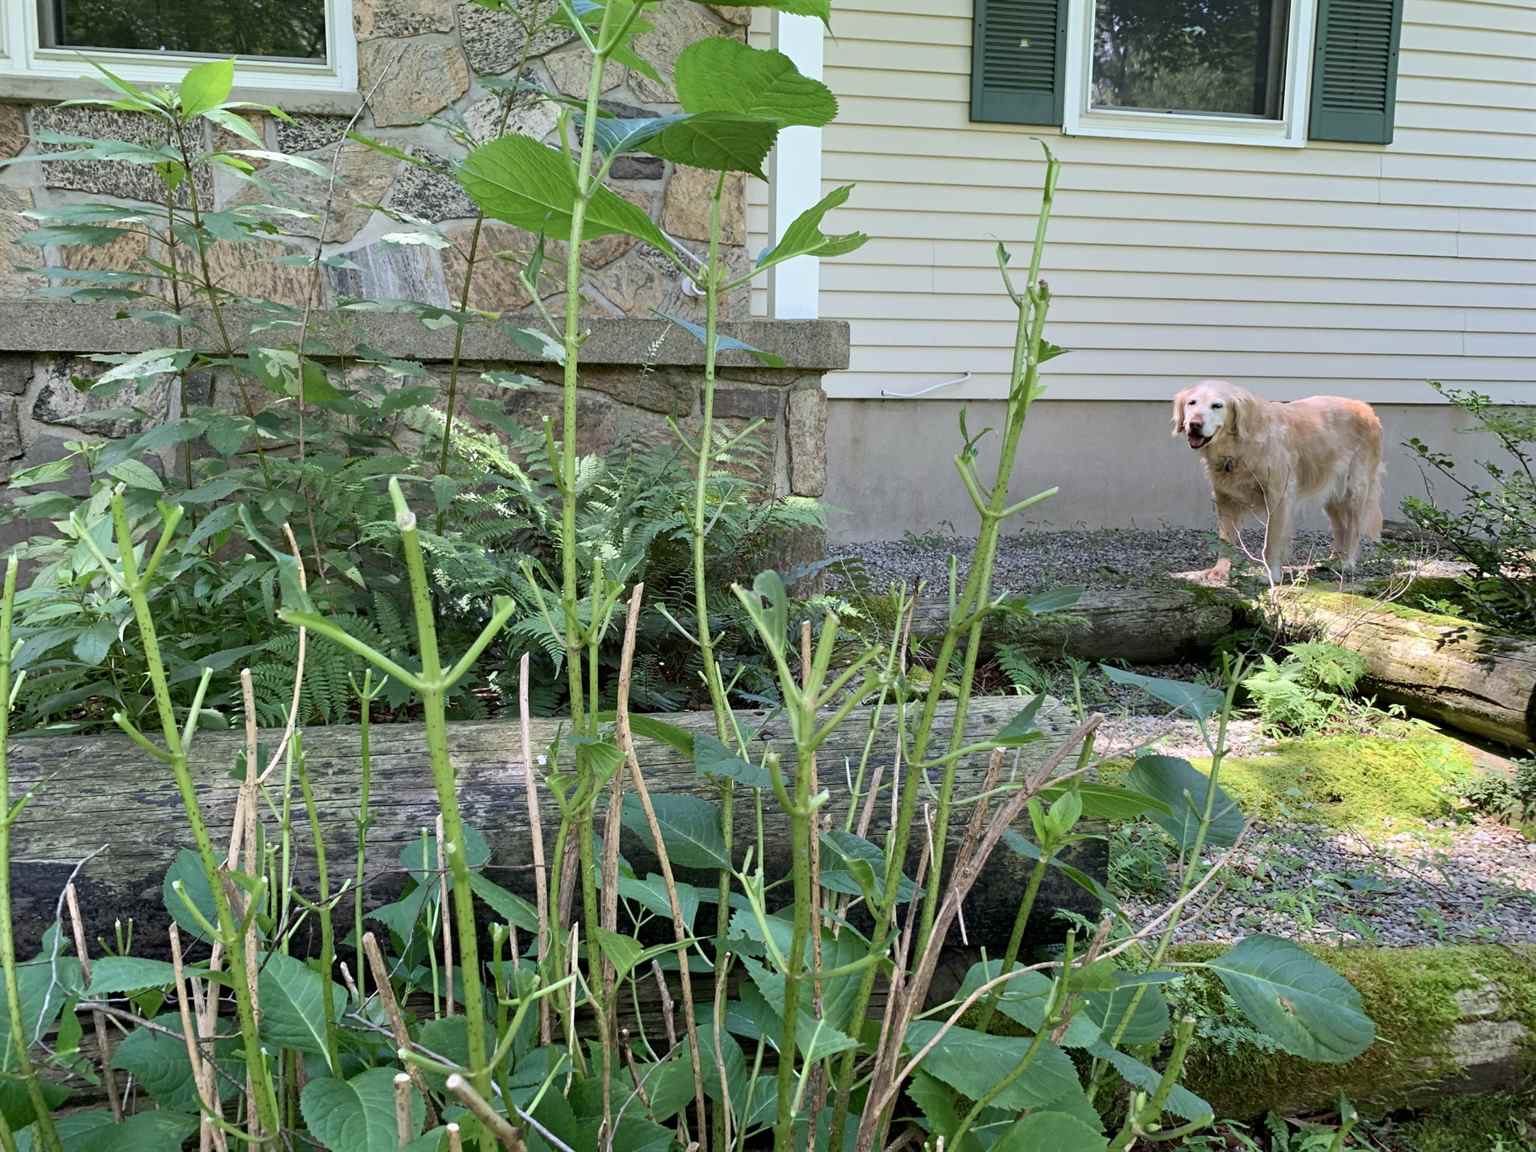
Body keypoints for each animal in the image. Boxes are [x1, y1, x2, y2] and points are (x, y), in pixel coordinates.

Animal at [1167, 384, 1388, 586]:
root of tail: (1366, 408)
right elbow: (1225, 540)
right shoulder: (1225, 498)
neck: (1239, 448)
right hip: (1332, 493)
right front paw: (1219, 571)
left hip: (1354, 490)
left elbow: (1272, 541)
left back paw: (1347, 562)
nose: (1194, 424)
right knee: (1340, 526)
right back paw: (1333, 560)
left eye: (1217, 405)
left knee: (1353, 528)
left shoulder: (1279, 497)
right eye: (1192, 403)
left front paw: (1270, 575)